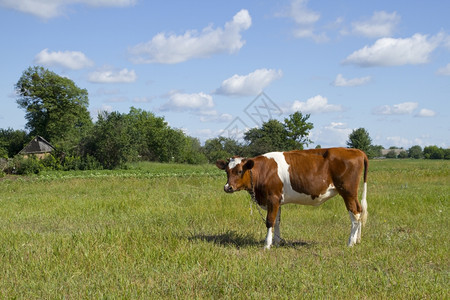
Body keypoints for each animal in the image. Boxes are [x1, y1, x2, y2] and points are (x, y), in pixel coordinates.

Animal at [217, 147, 370, 248]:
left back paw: (350, 243)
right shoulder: (277, 200)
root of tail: (356, 151)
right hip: (352, 194)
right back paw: (357, 240)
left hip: (348, 192)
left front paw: (267, 245)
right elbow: (277, 221)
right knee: (360, 212)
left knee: (355, 214)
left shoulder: (272, 198)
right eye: (227, 171)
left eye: (239, 171)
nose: (227, 187)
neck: (262, 170)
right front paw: (276, 242)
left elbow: (270, 221)